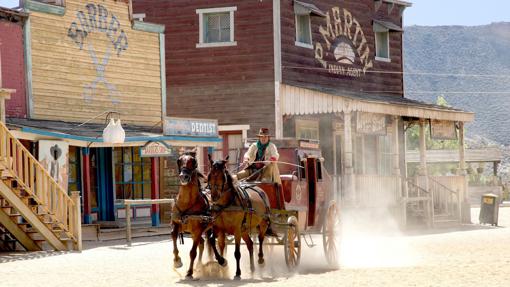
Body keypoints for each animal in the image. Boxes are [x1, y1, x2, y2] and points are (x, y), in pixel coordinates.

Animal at [171, 153, 225, 282]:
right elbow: (174, 237)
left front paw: (189, 272)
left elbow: (192, 252)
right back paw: (199, 265)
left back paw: (220, 260)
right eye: (180, 161)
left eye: (193, 162)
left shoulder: (197, 230)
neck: (187, 203)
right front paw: (177, 261)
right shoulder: (176, 224)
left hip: (214, 227)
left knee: (213, 242)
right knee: (204, 242)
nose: (184, 176)